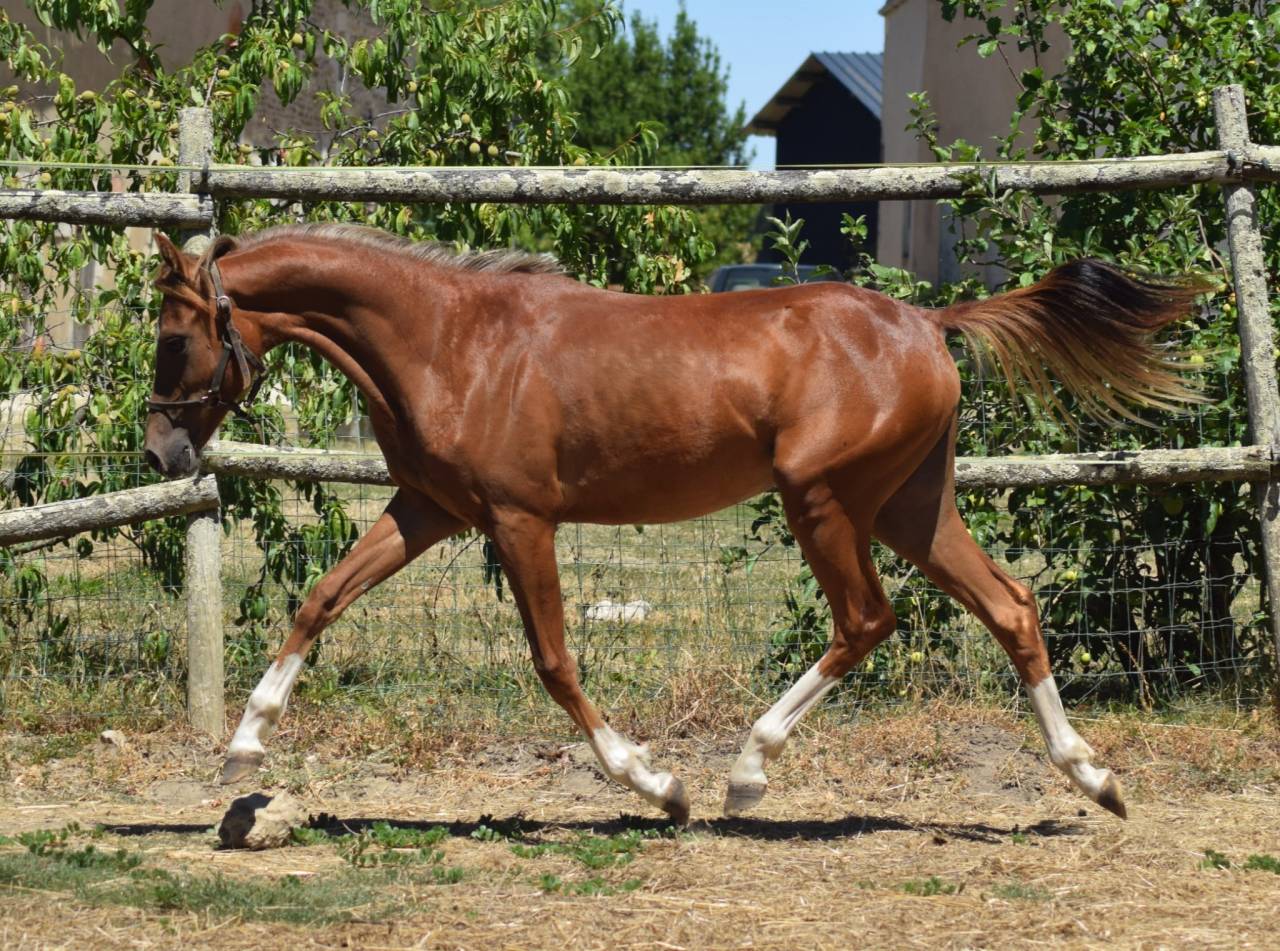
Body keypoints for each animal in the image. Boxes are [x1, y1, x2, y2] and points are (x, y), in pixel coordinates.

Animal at [145, 224, 1203, 824]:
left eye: (173, 337)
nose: (160, 451)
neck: (451, 342)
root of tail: (928, 322)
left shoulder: (521, 519)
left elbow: (554, 661)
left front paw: (657, 785)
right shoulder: (430, 508)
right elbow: (321, 598)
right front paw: (246, 744)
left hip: (822, 499)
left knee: (867, 619)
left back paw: (744, 772)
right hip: (910, 504)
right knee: (1011, 604)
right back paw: (1095, 780)